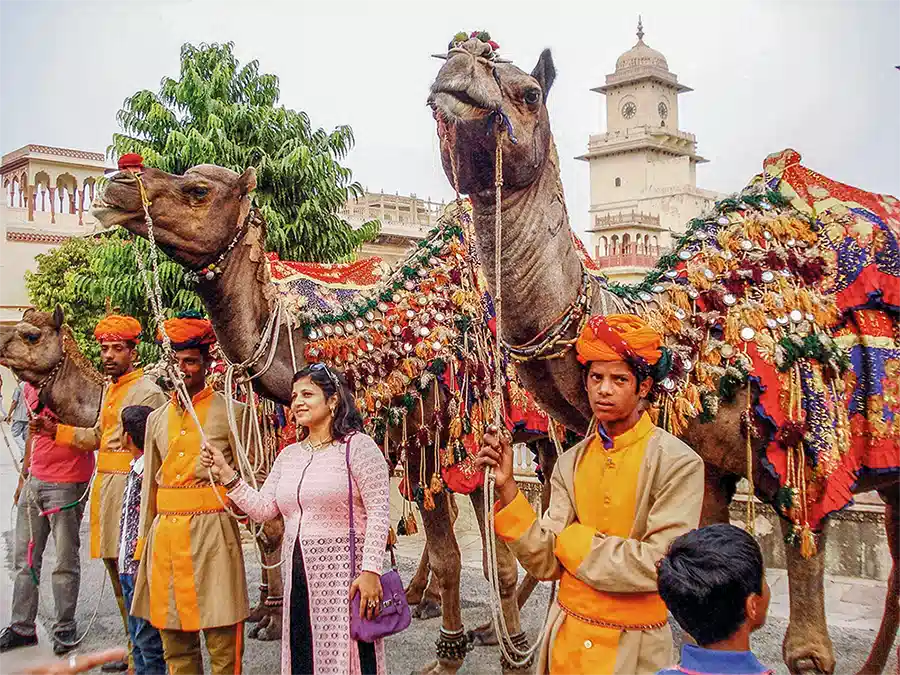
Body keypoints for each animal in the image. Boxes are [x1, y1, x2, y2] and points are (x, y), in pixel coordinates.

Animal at [428, 35, 900, 675]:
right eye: (450, 68)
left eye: (527, 92)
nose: (459, 63)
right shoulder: (709, 463)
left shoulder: (805, 463)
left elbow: (806, 652)